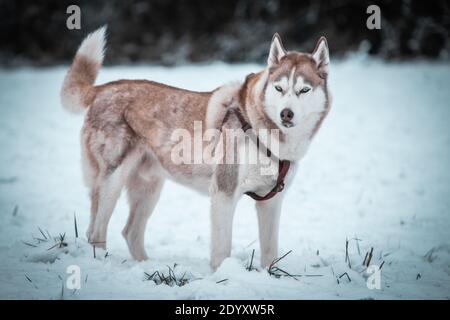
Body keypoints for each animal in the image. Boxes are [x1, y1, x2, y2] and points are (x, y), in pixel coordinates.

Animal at [59, 26, 330, 268]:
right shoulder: (223, 192)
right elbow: (222, 250)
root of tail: (102, 89)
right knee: (96, 233)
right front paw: (222, 276)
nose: (286, 114)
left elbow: (271, 252)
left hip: (149, 188)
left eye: (304, 90)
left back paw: (146, 267)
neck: (266, 135)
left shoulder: (271, 200)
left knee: (130, 231)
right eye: (279, 88)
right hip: (113, 180)